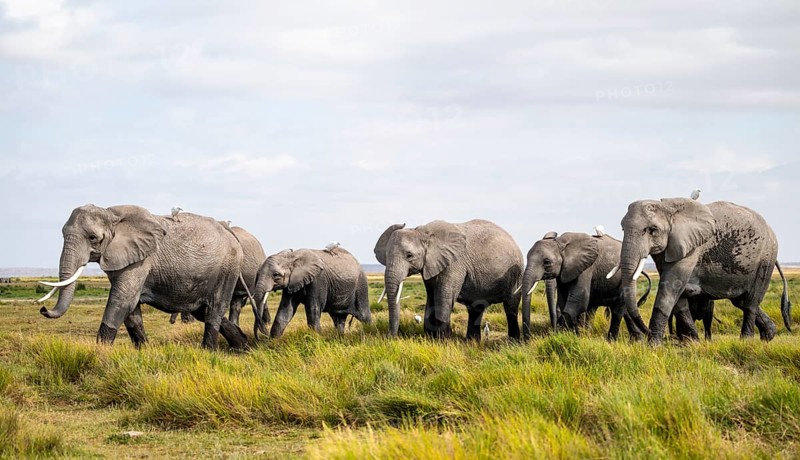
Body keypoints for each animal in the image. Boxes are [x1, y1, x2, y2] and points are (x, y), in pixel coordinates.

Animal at [36, 205, 266, 350]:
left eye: (93, 238)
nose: (43, 309)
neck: (112, 215)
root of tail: (231, 232)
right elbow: (130, 308)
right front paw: (143, 351)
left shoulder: (141, 259)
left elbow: (122, 300)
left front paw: (100, 353)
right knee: (204, 311)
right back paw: (242, 347)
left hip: (227, 268)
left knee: (214, 311)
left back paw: (208, 351)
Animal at [374, 219, 523, 340]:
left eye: (409, 255)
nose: (392, 338)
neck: (423, 233)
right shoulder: (430, 266)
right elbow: (431, 298)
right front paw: (431, 339)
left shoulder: (454, 264)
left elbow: (443, 298)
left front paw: (444, 341)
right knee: (476, 308)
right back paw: (472, 342)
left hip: (515, 275)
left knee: (510, 306)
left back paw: (513, 342)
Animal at [520, 231, 651, 339]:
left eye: (547, 262)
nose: (527, 340)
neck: (561, 243)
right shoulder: (565, 271)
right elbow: (563, 301)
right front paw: (574, 335)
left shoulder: (586, 267)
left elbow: (578, 300)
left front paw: (562, 336)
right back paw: (637, 340)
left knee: (617, 310)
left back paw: (612, 341)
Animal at [613, 197, 792, 345]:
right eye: (622, 229)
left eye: (652, 229)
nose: (648, 332)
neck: (668, 208)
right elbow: (678, 295)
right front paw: (693, 342)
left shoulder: (692, 247)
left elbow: (671, 286)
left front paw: (653, 345)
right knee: (740, 301)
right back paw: (768, 336)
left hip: (765, 259)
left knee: (750, 303)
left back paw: (746, 341)